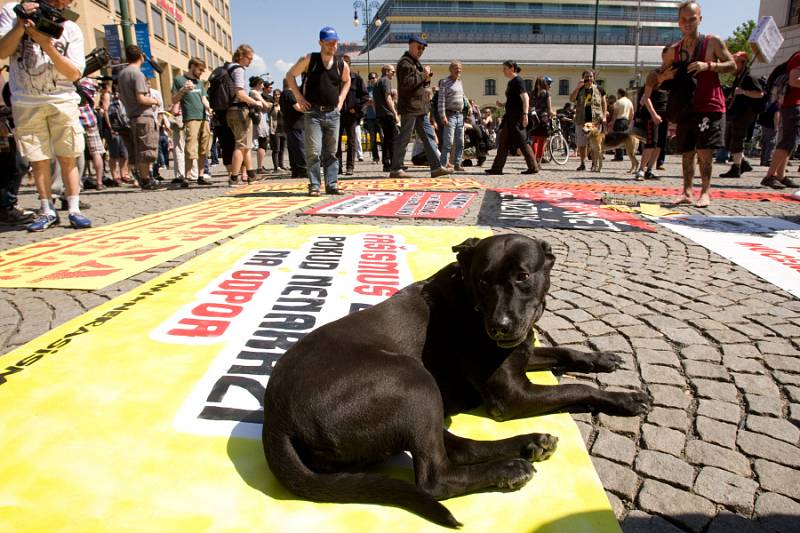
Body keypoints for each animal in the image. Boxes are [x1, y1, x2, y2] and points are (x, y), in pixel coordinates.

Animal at [262, 234, 648, 528]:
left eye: (523, 276)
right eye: (483, 280)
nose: (500, 327)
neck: (470, 300)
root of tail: (276, 418)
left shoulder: (522, 351)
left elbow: (562, 351)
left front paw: (600, 358)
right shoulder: (511, 393)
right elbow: (574, 387)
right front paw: (625, 398)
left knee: (456, 447)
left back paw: (528, 444)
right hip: (412, 380)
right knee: (436, 477)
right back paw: (508, 468)